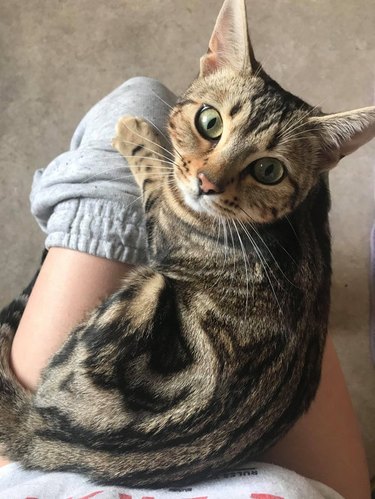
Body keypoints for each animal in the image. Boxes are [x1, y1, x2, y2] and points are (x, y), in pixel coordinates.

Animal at [0, 0, 375, 488]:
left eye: (269, 170)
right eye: (209, 122)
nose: (206, 183)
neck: (293, 220)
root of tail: (44, 434)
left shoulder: (165, 226)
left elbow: (156, 178)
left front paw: (137, 133)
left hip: (143, 293)